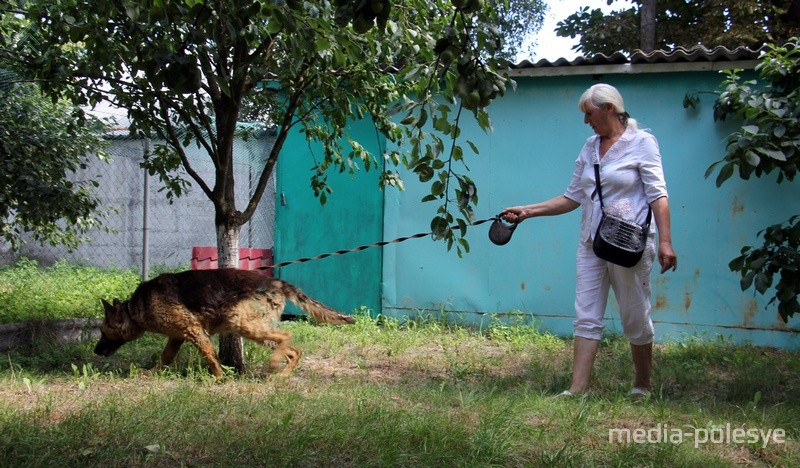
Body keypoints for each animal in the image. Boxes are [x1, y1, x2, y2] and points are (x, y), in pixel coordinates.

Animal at [94, 266, 354, 376]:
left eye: (103, 331)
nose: (96, 351)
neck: (134, 309)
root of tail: (277, 283)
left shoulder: (193, 331)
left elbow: (210, 355)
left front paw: (220, 377)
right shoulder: (177, 337)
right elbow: (165, 358)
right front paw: (153, 373)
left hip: (245, 325)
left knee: (286, 337)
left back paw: (274, 365)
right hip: (257, 329)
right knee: (294, 351)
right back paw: (282, 374)